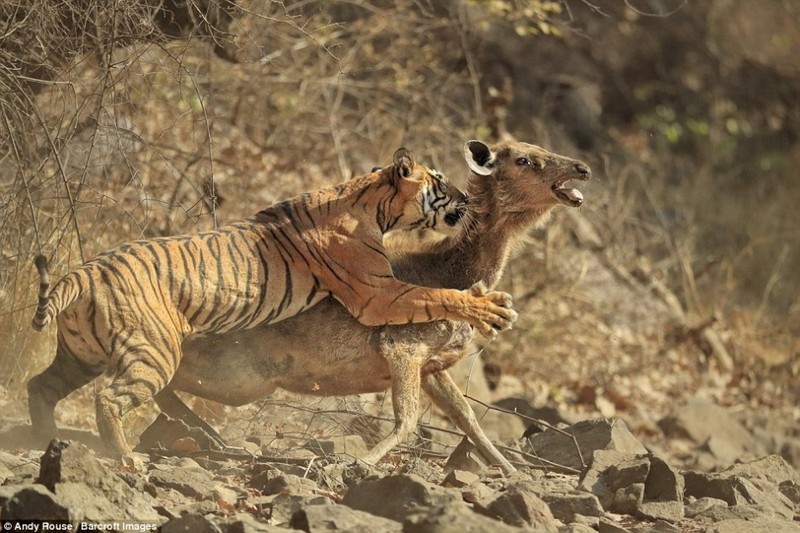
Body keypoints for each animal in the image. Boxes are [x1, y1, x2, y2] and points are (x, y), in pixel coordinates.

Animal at [28, 148, 520, 456]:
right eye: (440, 181)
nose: (466, 198)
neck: (372, 201)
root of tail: (86, 270)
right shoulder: (378, 293)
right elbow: (438, 294)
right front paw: (491, 307)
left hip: (81, 355)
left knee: (39, 385)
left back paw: (42, 440)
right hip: (153, 351)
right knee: (110, 399)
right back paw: (125, 457)